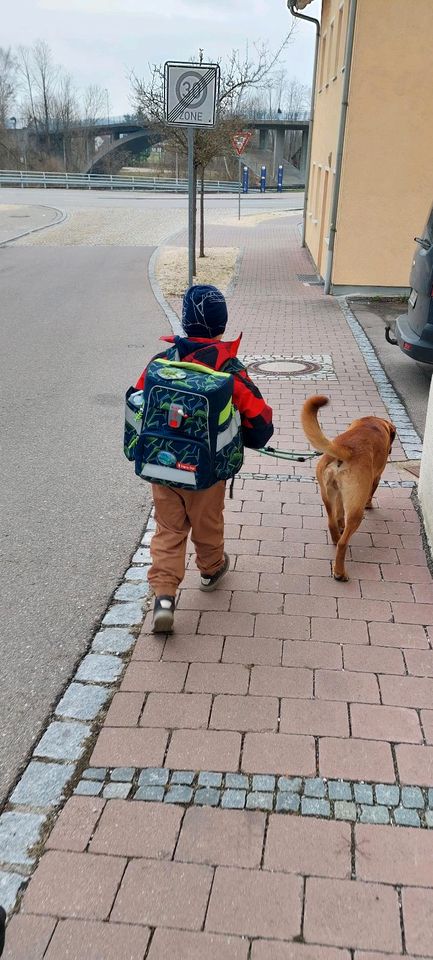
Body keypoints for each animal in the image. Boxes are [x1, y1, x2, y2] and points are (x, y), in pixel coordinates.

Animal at [300, 396, 394, 580]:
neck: (370, 423)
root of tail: (346, 449)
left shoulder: (339, 495)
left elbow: (339, 513)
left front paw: (340, 523)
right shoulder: (376, 477)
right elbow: (371, 493)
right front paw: (370, 504)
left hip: (327, 495)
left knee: (331, 522)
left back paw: (336, 536)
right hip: (356, 510)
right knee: (344, 543)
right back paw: (340, 572)